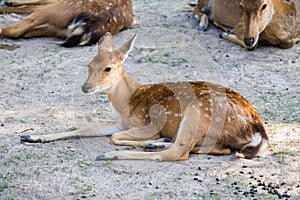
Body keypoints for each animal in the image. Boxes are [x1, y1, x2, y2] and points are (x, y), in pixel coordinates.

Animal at [0, 0, 134, 46]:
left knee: (15, 31)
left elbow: (30, 7)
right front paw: (9, 2)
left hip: (61, 9)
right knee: (26, 32)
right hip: (59, 28)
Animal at [21, 32, 270, 161]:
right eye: (89, 64)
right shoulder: (122, 123)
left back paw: (113, 154)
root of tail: (257, 130)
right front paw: (33, 136)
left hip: (198, 112)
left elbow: (115, 137)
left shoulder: (148, 123)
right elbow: (83, 128)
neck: (127, 104)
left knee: (178, 152)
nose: (86, 87)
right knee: (218, 148)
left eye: (108, 68)